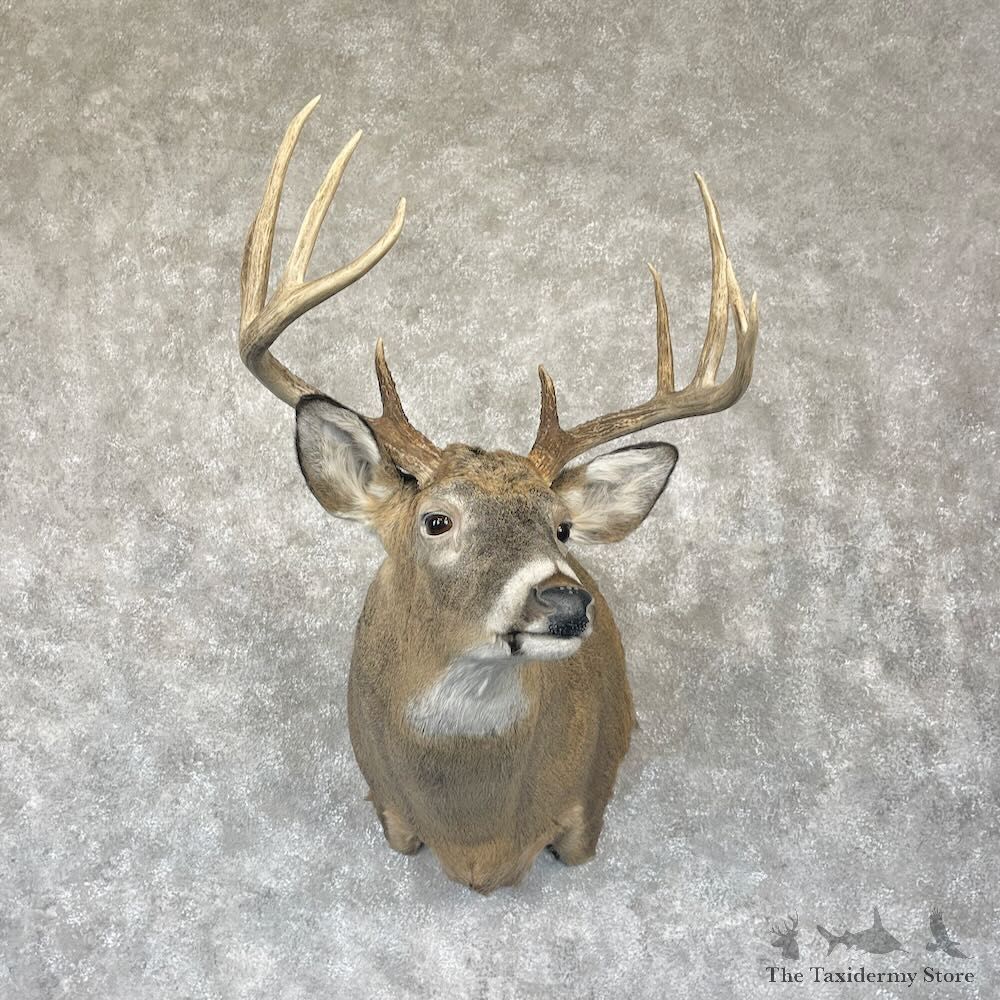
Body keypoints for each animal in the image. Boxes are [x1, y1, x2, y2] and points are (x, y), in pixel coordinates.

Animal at [239, 97, 759, 893]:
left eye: (562, 528)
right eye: (436, 520)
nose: (566, 600)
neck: (477, 838)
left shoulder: (585, 809)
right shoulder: (386, 805)